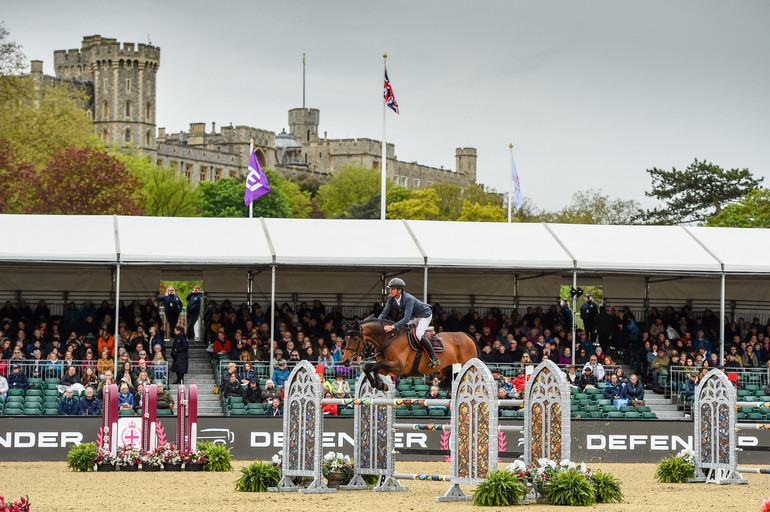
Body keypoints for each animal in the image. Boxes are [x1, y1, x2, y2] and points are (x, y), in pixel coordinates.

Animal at [340, 314, 476, 390]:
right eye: (345, 338)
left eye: (355, 339)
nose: (345, 361)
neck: (388, 339)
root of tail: (466, 335)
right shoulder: (386, 368)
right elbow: (370, 367)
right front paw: (379, 384)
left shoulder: (399, 367)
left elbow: (374, 366)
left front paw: (379, 383)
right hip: (445, 369)